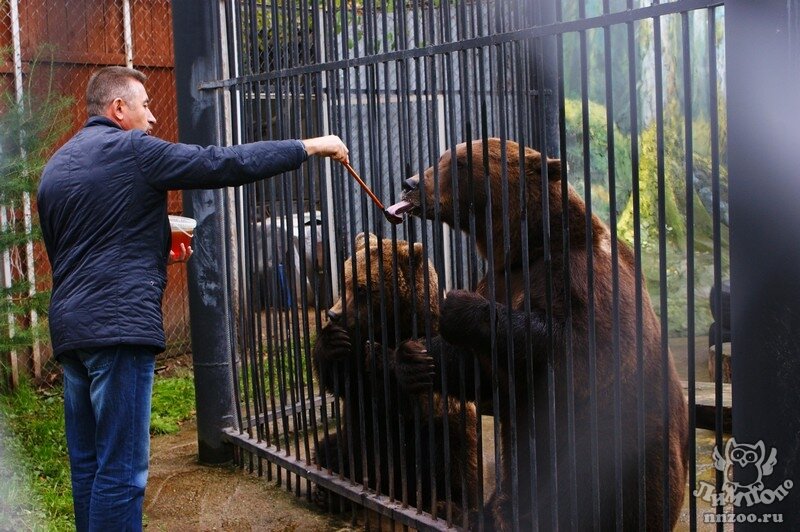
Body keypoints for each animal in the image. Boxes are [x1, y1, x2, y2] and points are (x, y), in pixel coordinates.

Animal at [310, 232, 478, 524]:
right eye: (344, 281)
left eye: (362, 288)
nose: (333, 314)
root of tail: (395, 490)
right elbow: (344, 381)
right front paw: (333, 341)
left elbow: (423, 393)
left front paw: (399, 362)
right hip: (355, 443)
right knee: (331, 449)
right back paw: (327, 492)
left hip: (448, 444)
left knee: (454, 464)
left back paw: (449, 507)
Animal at [392, 139, 688, 528]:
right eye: (441, 157)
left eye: (460, 163)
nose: (410, 183)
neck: (526, 249)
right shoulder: (501, 280)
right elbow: (482, 372)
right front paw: (415, 358)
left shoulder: (580, 280)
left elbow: (580, 350)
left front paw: (456, 305)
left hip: (628, 455)